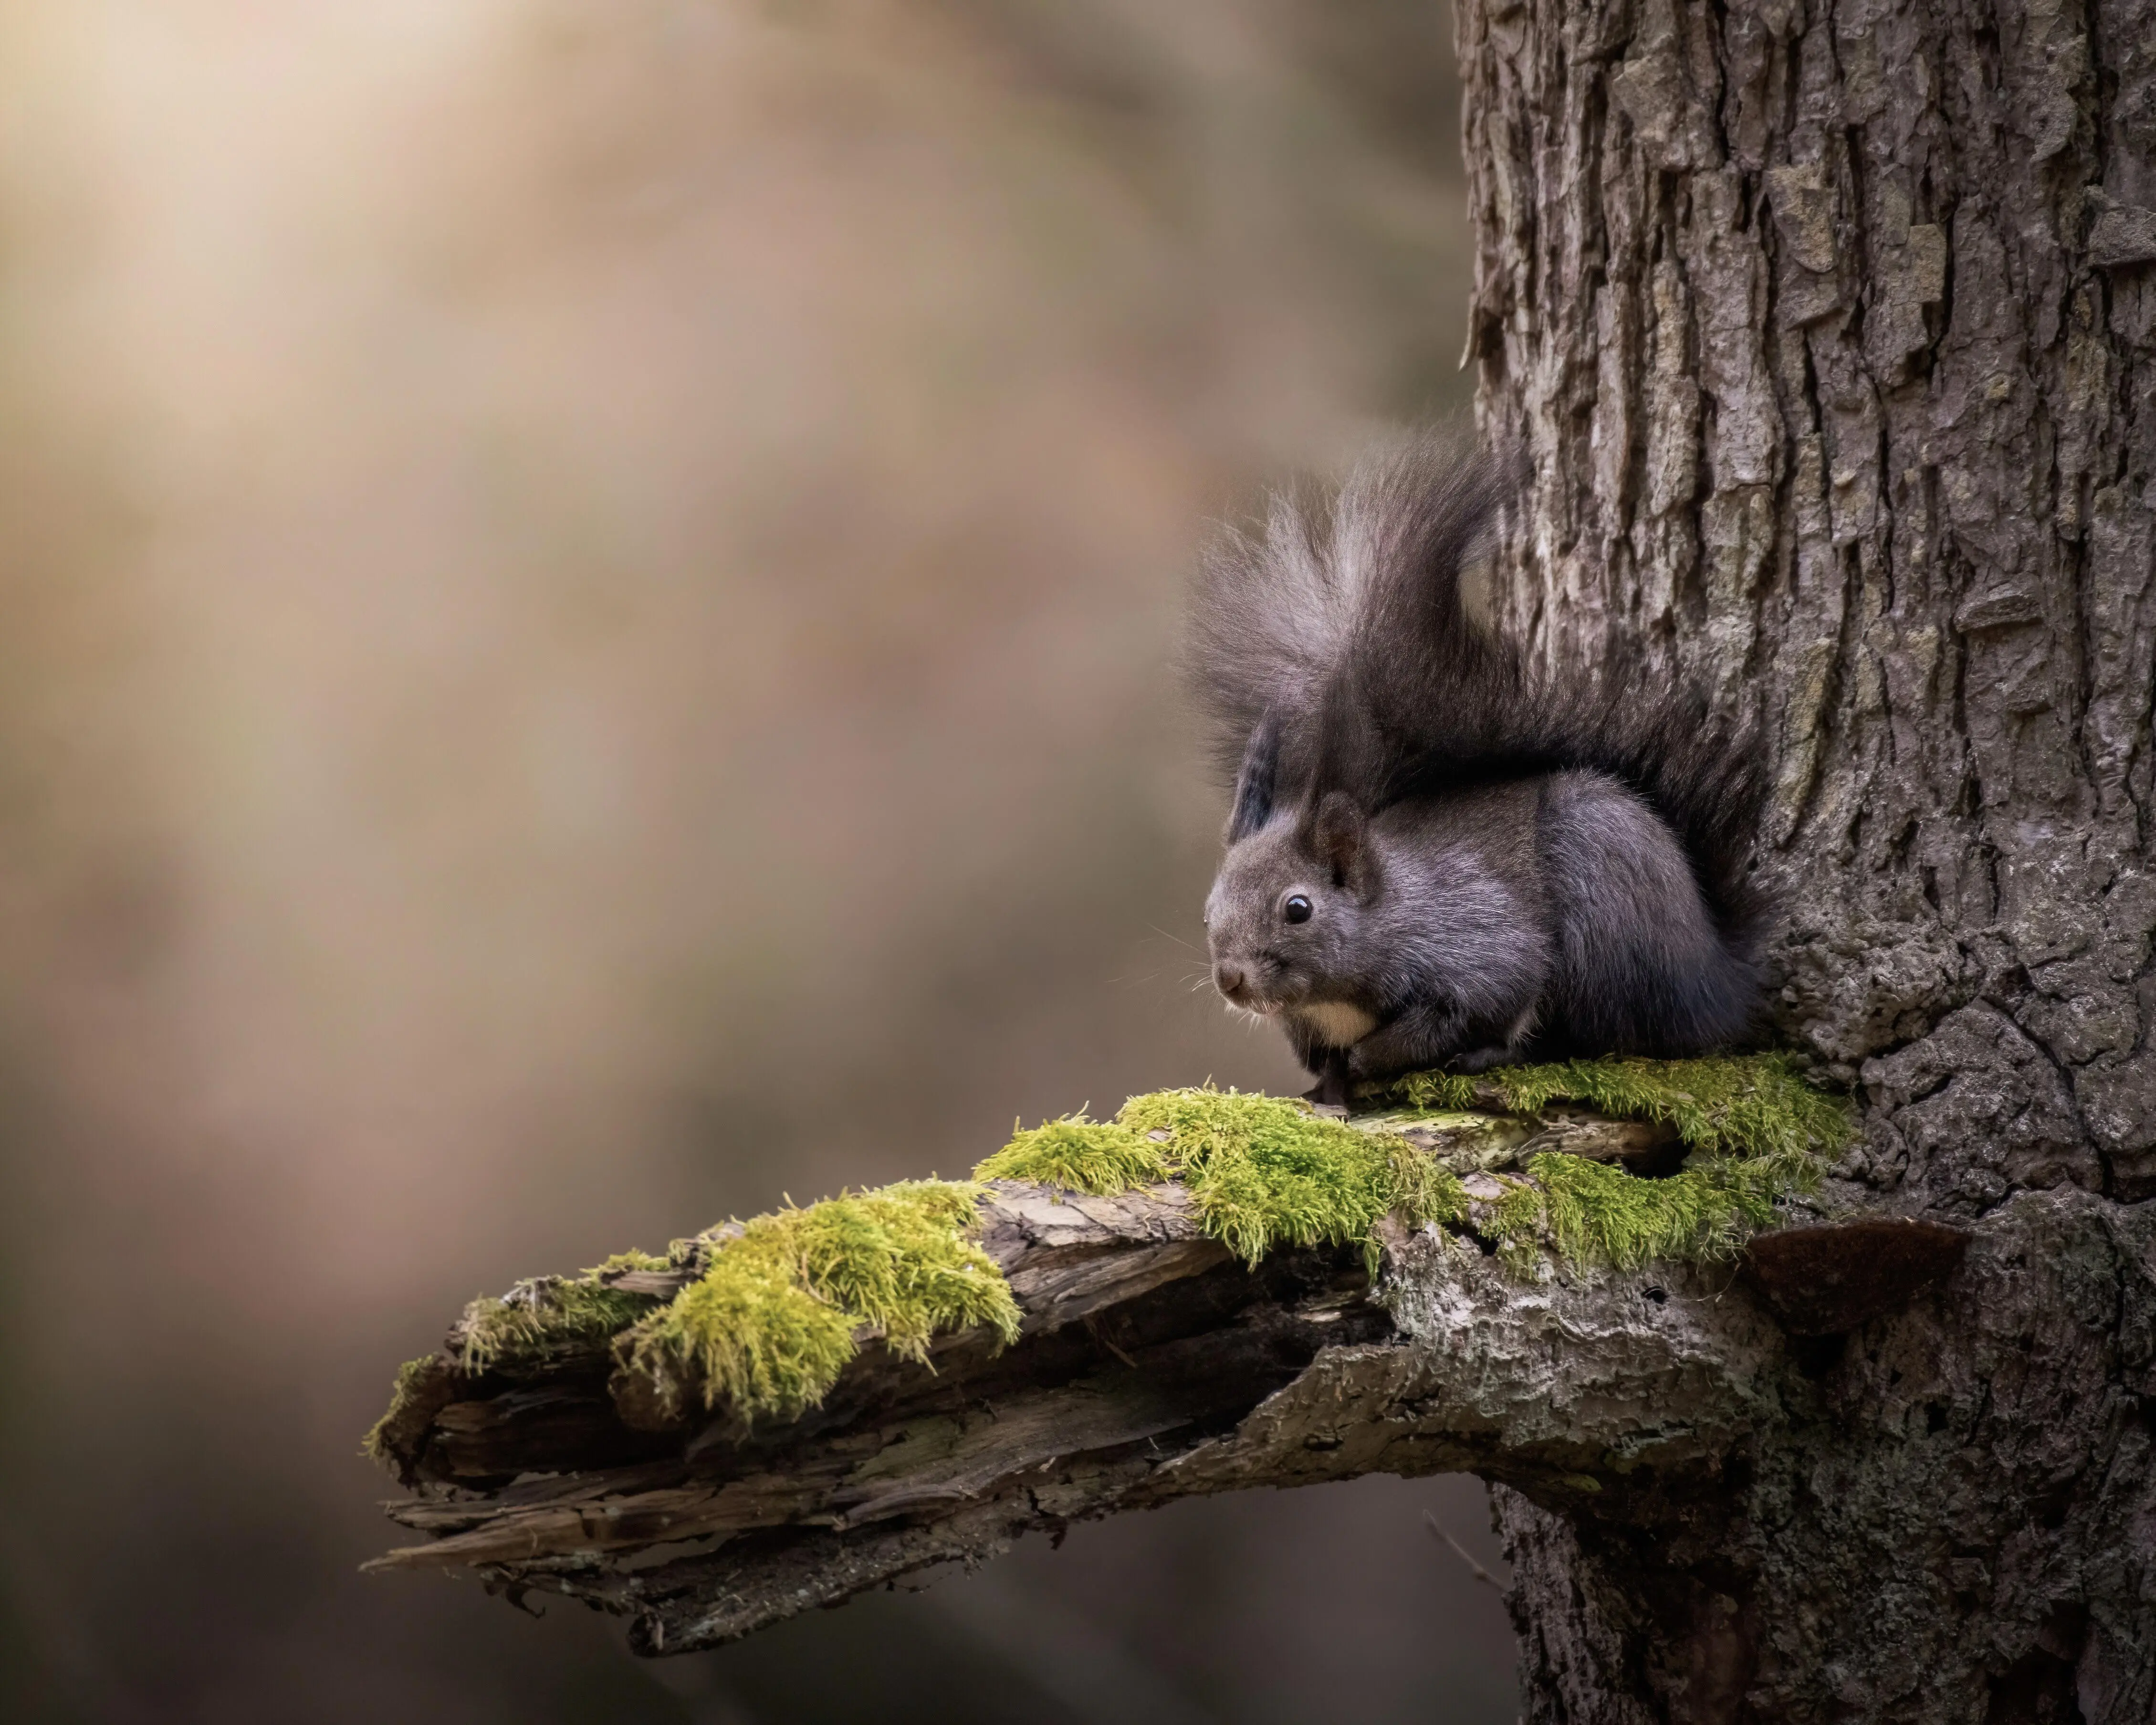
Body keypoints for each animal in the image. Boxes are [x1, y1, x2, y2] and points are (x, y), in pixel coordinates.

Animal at [1188, 433, 1770, 1107]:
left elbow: (1467, 1006)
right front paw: (1329, 1086)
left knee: (1591, 1036)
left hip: (1608, 923)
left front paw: (1372, 1057)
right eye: (1209, 909)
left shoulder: (1479, 945)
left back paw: (1496, 1054)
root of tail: (1720, 977)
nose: (1231, 979)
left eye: (1298, 908)